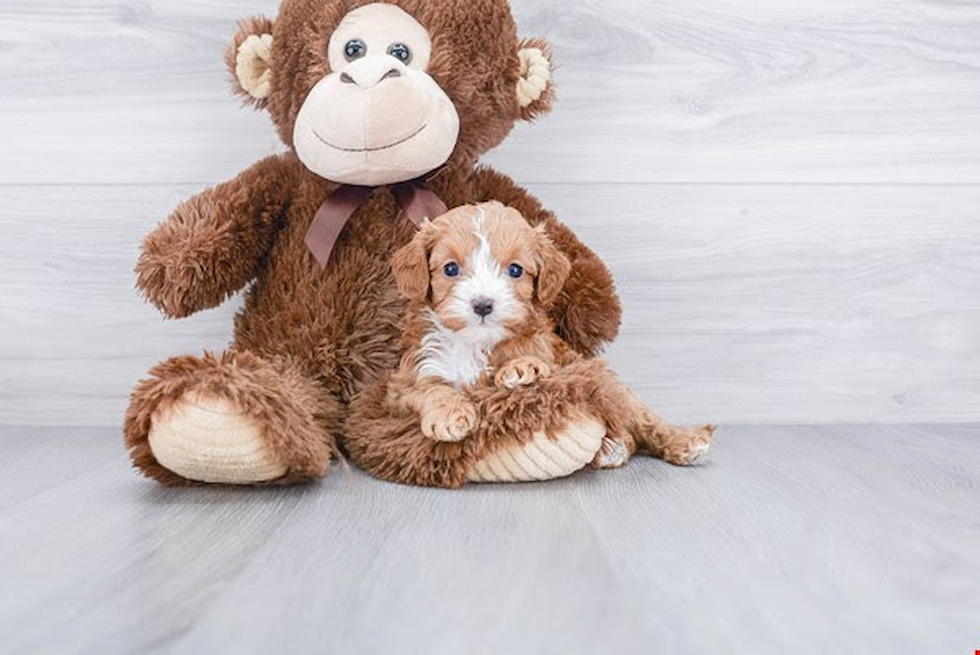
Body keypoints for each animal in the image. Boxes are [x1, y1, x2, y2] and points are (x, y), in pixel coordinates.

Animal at [386, 201, 716, 472]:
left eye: (515, 270)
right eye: (451, 268)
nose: (483, 304)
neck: (476, 343)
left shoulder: (556, 359)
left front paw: (520, 367)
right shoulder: (401, 384)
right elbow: (428, 388)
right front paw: (449, 414)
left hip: (606, 382)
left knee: (641, 420)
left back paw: (681, 442)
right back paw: (612, 449)